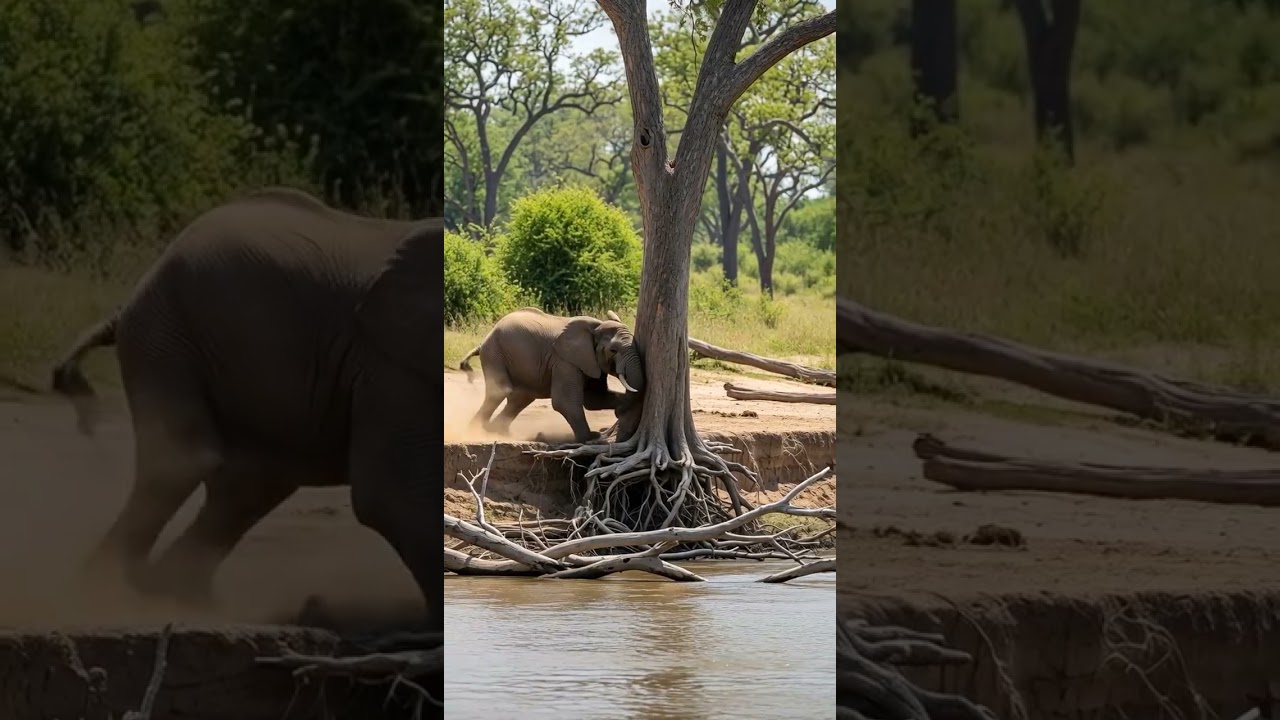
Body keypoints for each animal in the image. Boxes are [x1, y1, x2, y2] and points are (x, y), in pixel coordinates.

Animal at [50, 187, 444, 634]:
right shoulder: (389, 364)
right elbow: (390, 495)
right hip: (166, 330)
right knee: (185, 462)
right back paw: (107, 595)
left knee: (249, 486)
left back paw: (178, 598)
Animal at [458, 307, 645, 443]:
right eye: (613, 350)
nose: (619, 414)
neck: (596, 326)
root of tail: (483, 341)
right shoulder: (564, 361)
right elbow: (565, 401)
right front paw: (591, 437)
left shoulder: (590, 362)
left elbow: (594, 398)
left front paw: (621, 409)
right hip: (494, 352)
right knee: (501, 391)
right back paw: (476, 430)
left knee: (521, 397)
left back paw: (498, 432)